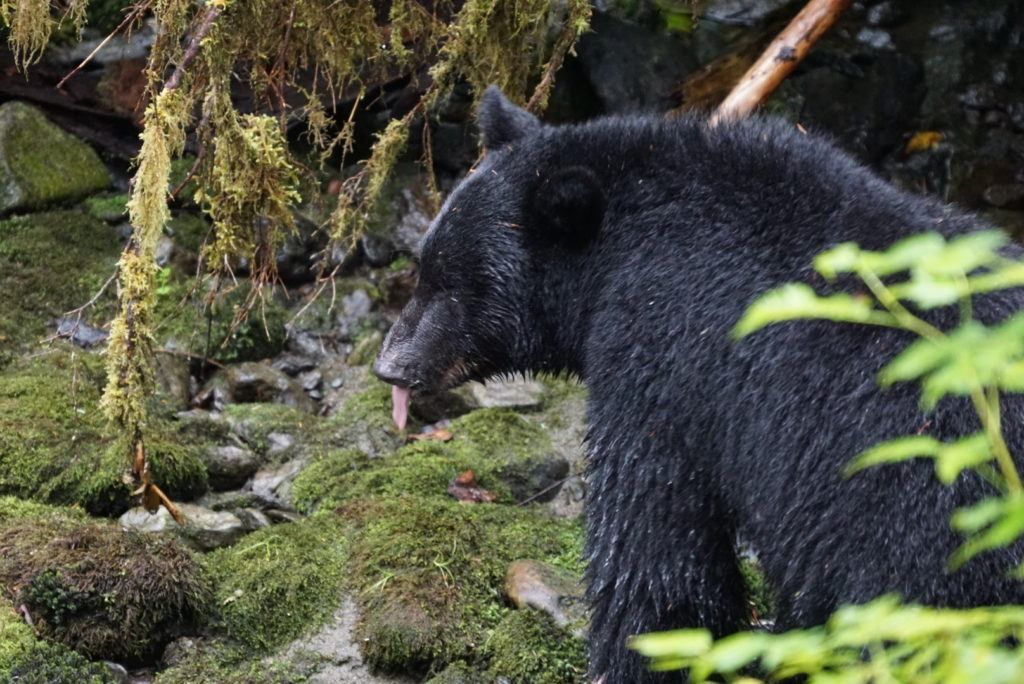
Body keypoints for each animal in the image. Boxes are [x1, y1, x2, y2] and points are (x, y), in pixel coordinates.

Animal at [372, 88, 1024, 679]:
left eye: (456, 286)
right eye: (425, 264)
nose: (391, 364)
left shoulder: (667, 359)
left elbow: (655, 539)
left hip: (913, 519)